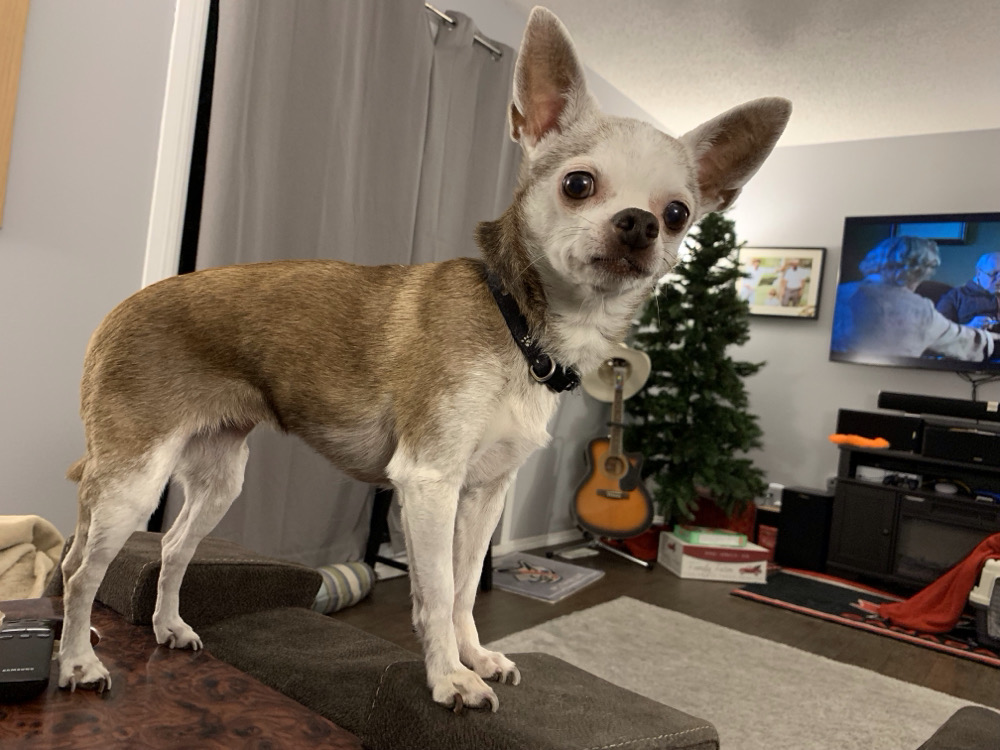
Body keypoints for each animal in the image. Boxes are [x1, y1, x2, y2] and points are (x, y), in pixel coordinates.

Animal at [58, 6, 790, 712]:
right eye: (579, 184)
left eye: (679, 214)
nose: (639, 223)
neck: (521, 327)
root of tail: (117, 310)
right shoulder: (430, 481)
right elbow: (435, 594)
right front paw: (450, 680)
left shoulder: (483, 494)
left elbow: (464, 591)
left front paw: (476, 658)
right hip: (134, 480)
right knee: (77, 570)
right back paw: (77, 661)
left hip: (217, 480)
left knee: (172, 548)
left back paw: (167, 628)